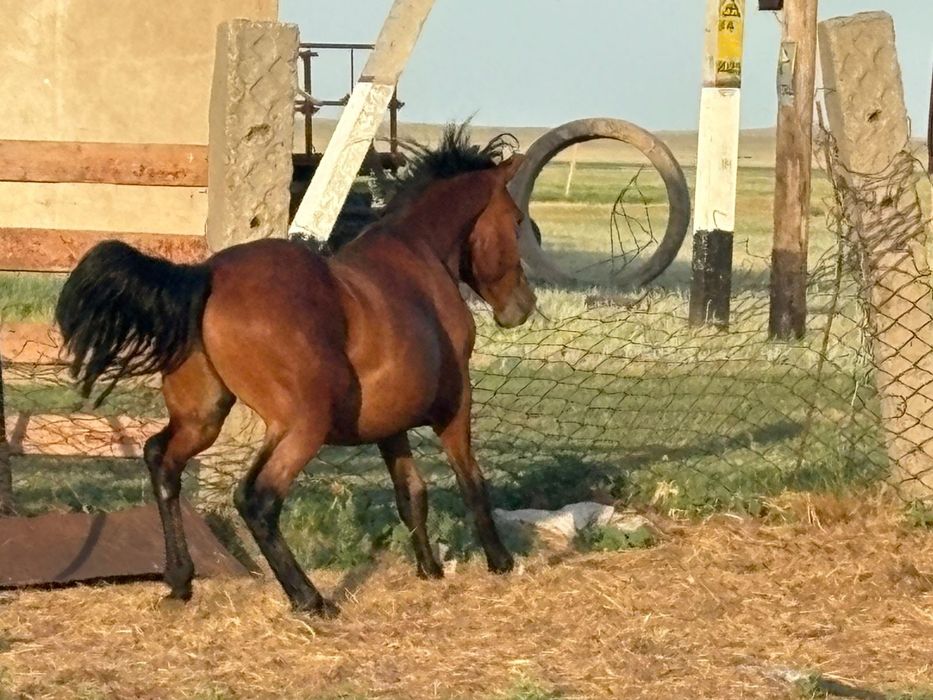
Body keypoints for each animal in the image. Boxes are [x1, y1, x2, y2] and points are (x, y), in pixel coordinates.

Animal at [55, 126, 537, 616]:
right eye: (516, 218)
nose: (523, 306)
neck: (419, 259)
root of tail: (206, 276)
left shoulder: (390, 425)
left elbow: (411, 494)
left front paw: (430, 570)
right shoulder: (453, 407)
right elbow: (471, 481)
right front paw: (500, 561)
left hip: (203, 417)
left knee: (162, 460)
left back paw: (180, 581)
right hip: (303, 424)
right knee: (257, 497)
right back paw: (309, 598)